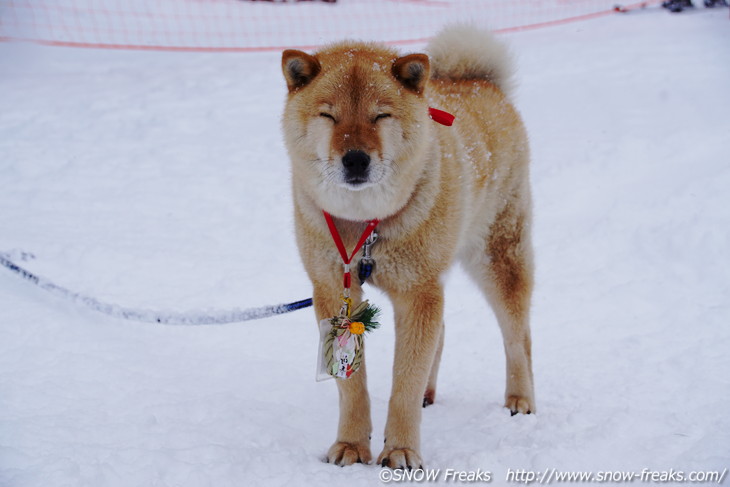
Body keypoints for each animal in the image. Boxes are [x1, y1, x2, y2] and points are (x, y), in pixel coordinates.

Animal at [282, 24, 532, 470]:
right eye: (329, 115)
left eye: (380, 115)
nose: (356, 159)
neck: (366, 226)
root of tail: (477, 82)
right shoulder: (334, 290)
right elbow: (353, 387)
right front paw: (351, 445)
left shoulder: (417, 294)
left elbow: (405, 384)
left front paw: (400, 450)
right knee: (445, 332)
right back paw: (431, 395)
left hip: (497, 256)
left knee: (518, 338)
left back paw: (519, 400)